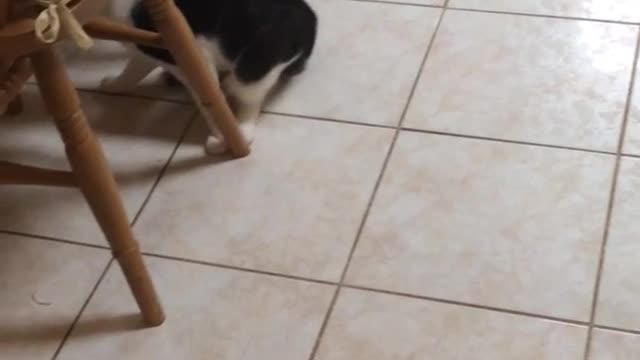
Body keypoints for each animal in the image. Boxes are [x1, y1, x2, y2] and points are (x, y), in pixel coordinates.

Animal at [102, 0, 318, 153]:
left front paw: (222, 139)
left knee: (247, 93)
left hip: (260, 54)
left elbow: (210, 100)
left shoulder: (194, 51)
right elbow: (131, 72)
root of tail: (311, 17)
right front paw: (112, 85)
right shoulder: (148, 50)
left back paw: (242, 129)